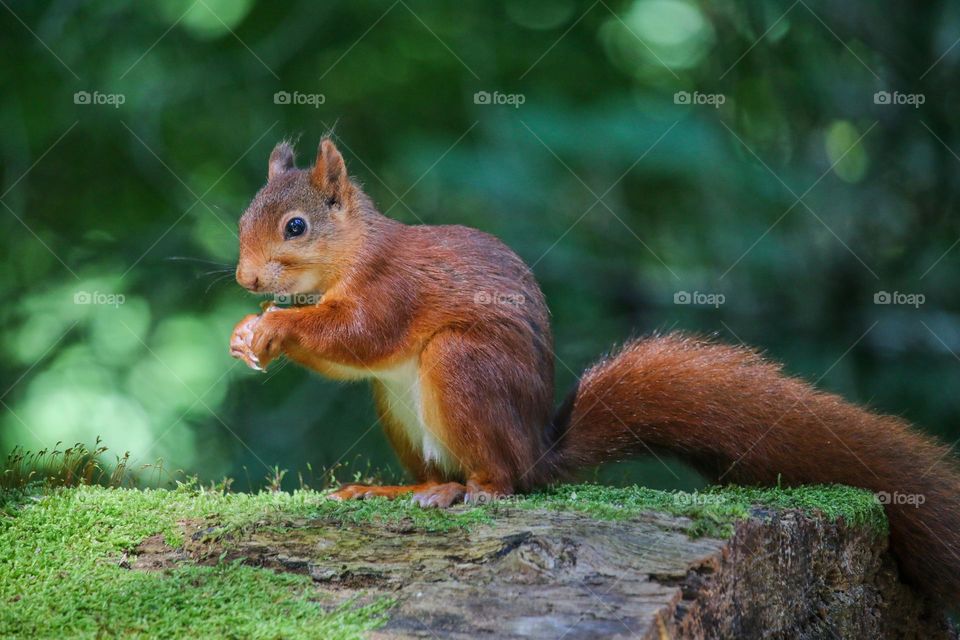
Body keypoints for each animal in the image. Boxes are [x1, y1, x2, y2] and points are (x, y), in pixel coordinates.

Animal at [231, 138, 960, 604]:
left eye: (295, 226)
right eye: (243, 217)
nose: (244, 280)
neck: (356, 251)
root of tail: (534, 449)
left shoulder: (393, 291)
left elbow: (360, 336)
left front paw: (275, 326)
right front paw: (247, 332)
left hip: (462, 367)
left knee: (506, 481)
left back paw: (471, 491)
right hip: (398, 410)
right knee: (438, 468)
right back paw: (392, 490)